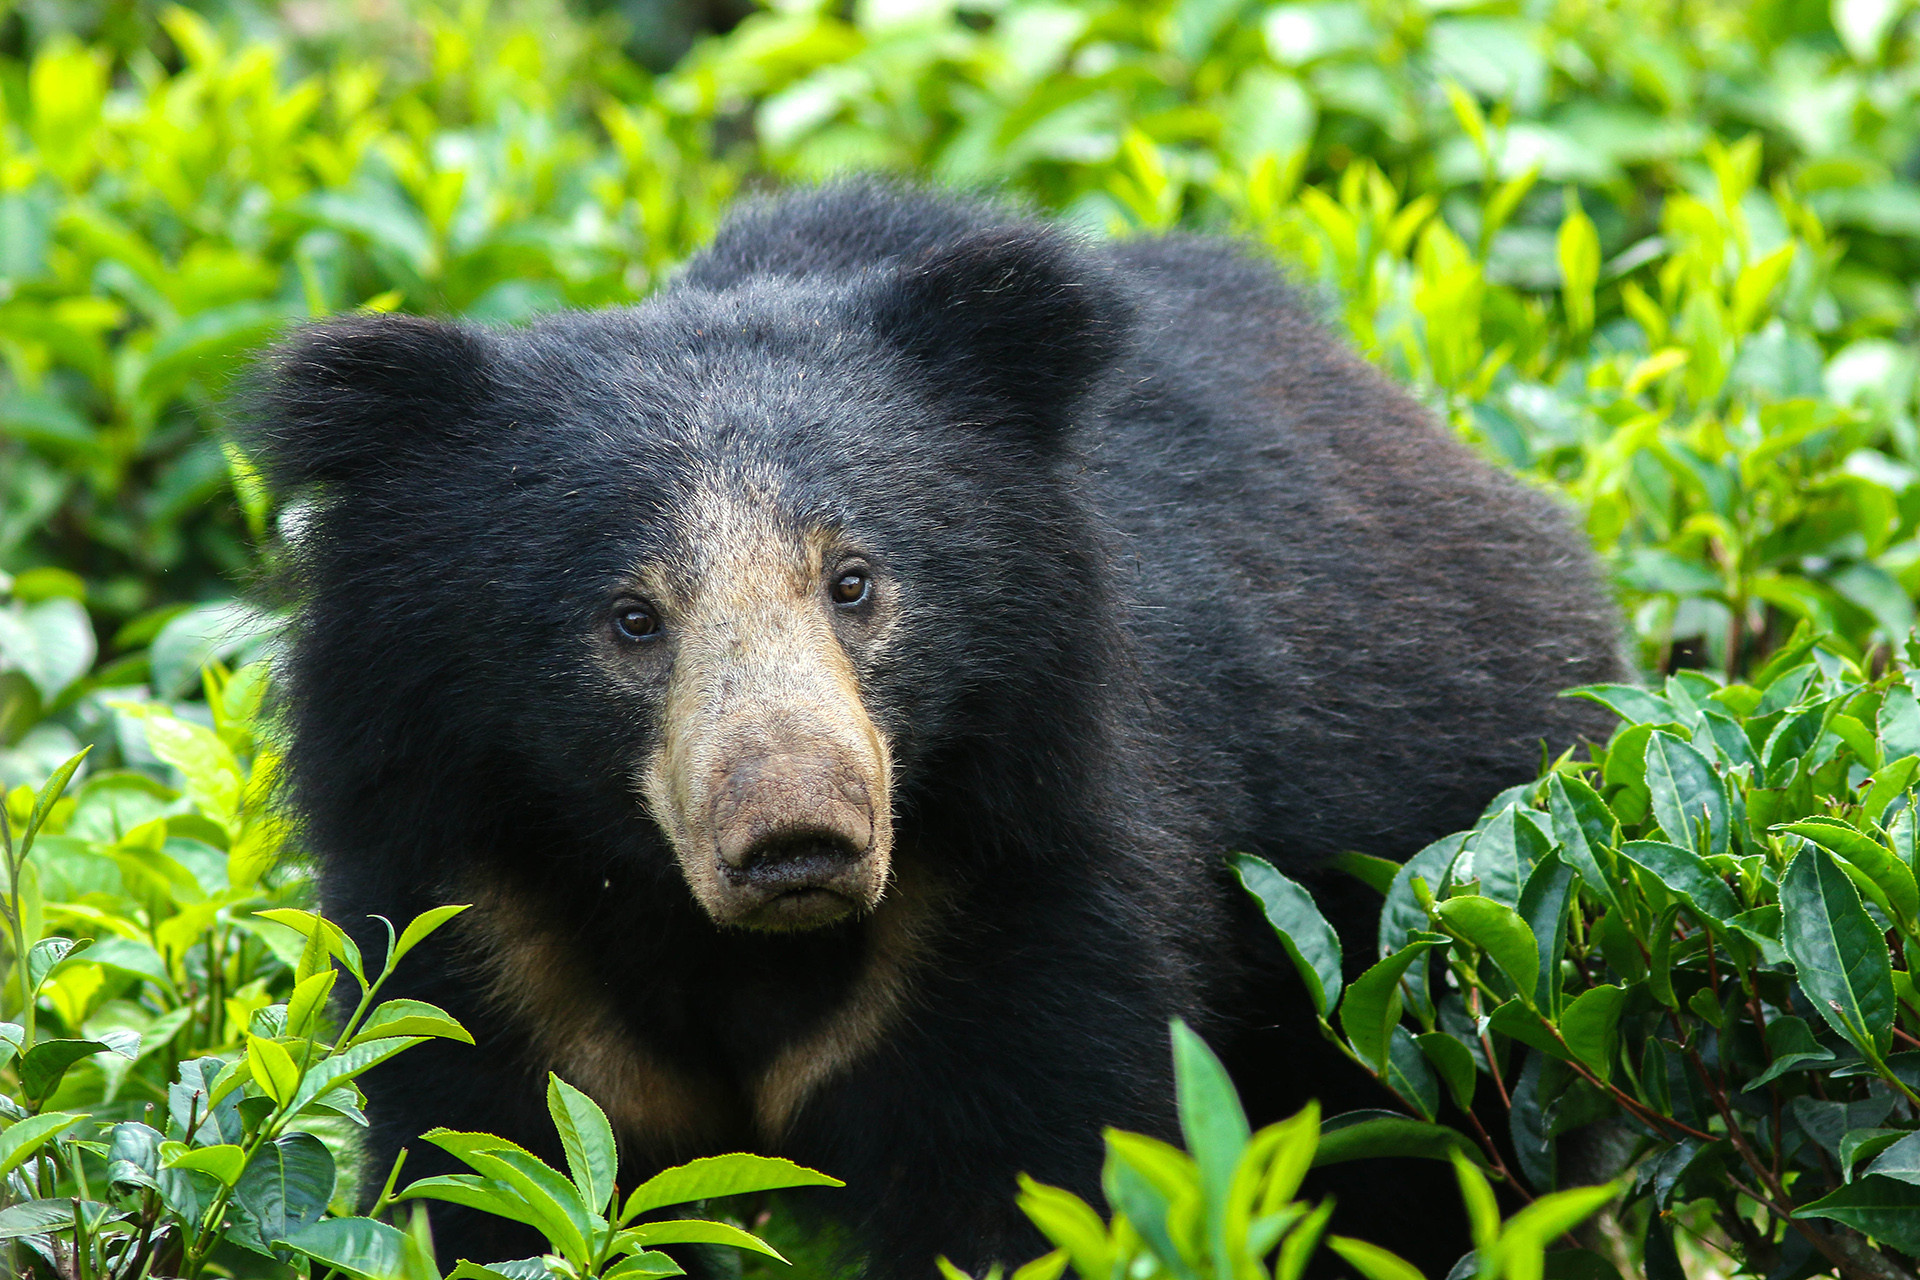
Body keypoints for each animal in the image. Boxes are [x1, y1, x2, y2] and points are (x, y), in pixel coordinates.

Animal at [247, 182, 1628, 1280]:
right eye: (632, 617)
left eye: (854, 581)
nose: (798, 835)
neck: (714, 932)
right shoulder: (481, 911)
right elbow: (487, 1162)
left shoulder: (1014, 874)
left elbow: (1036, 1175)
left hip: (1439, 920)